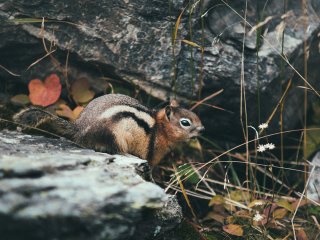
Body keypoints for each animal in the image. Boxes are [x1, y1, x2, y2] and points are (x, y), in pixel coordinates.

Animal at [13, 94, 204, 166]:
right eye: (185, 122)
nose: (202, 129)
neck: (160, 128)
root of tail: (79, 128)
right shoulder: (150, 152)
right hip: (113, 135)